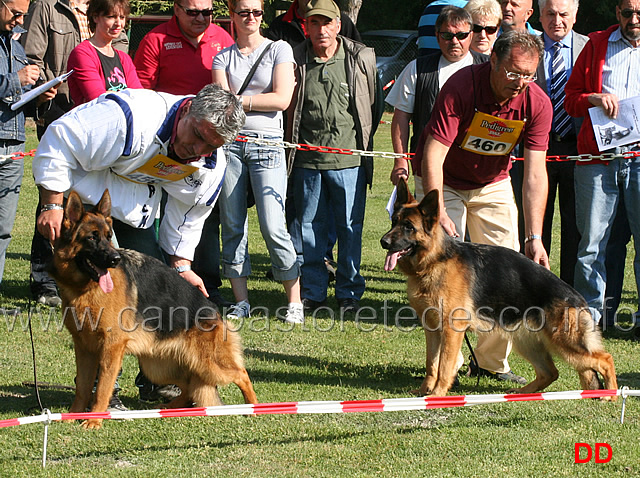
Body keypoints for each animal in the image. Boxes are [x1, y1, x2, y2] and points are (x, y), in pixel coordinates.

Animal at [50, 190, 258, 430]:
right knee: (189, 386)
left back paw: (254, 408)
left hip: (208, 364)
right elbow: (83, 388)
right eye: (92, 238)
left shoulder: (111, 348)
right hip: (157, 366)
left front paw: (94, 420)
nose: (115, 259)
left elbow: (102, 387)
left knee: (241, 374)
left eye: (109, 236)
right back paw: (169, 408)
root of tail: (214, 311)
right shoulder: (84, 348)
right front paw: (72, 415)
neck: (85, 289)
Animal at [380, 179, 616, 400]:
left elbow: (444, 366)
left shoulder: (452, 330)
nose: (384, 242)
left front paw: (437, 395)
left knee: (605, 359)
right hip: (527, 342)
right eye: (394, 222)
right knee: (550, 373)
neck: (434, 261)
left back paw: (611, 396)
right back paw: (522, 393)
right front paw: (424, 391)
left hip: (563, 342)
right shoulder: (432, 329)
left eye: (409, 227)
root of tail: (577, 297)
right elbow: (432, 363)